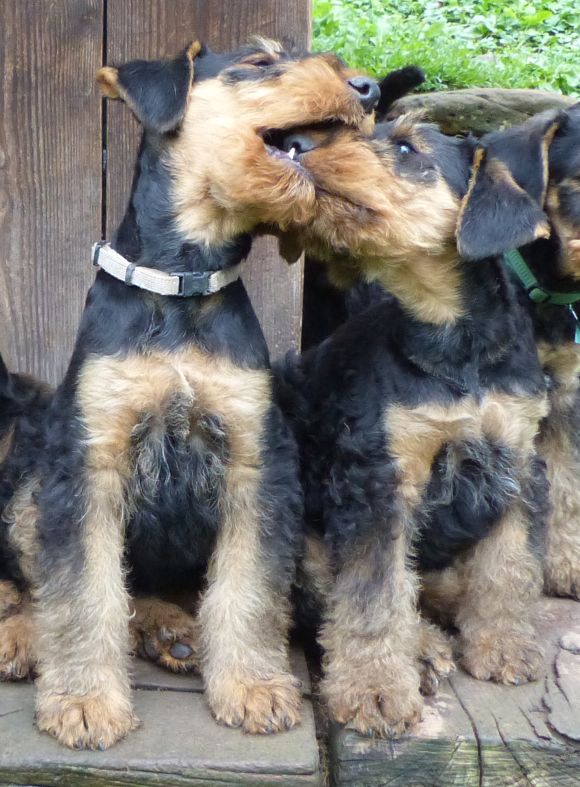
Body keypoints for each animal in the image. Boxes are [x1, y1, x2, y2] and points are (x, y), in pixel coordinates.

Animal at [0, 37, 378, 749]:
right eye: (257, 63)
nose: (368, 88)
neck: (184, 282)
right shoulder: (88, 464)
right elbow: (84, 592)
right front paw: (85, 703)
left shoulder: (258, 464)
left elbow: (247, 590)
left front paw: (252, 688)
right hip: (31, 492)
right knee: (46, 587)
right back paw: (26, 636)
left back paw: (172, 631)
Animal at [272, 109, 564, 737]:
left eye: (407, 148)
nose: (296, 144)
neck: (453, 337)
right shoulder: (380, 477)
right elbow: (375, 595)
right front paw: (377, 693)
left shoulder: (519, 465)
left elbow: (510, 568)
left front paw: (504, 646)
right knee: (336, 600)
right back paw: (424, 649)